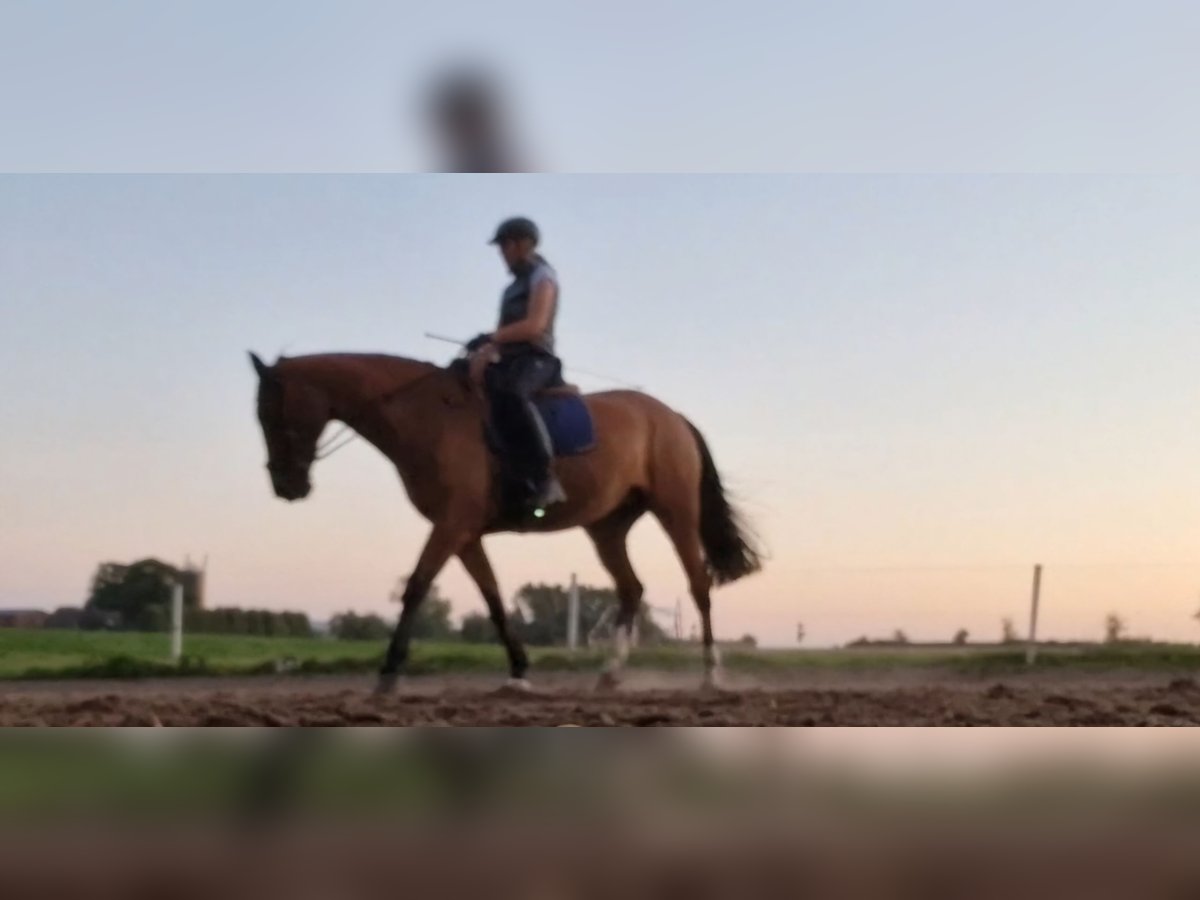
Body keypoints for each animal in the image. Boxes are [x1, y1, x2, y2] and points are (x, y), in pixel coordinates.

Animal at [248, 348, 763, 696]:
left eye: (273, 414)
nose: (286, 487)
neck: (428, 415)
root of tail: (672, 416)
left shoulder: (451, 525)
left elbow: (416, 587)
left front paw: (389, 673)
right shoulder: (464, 533)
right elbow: (493, 600)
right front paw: (518, 671)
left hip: (676, 512)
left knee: (698, 584)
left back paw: (711, 674)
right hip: (607, 526)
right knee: (631, 588)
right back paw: (610, 674)